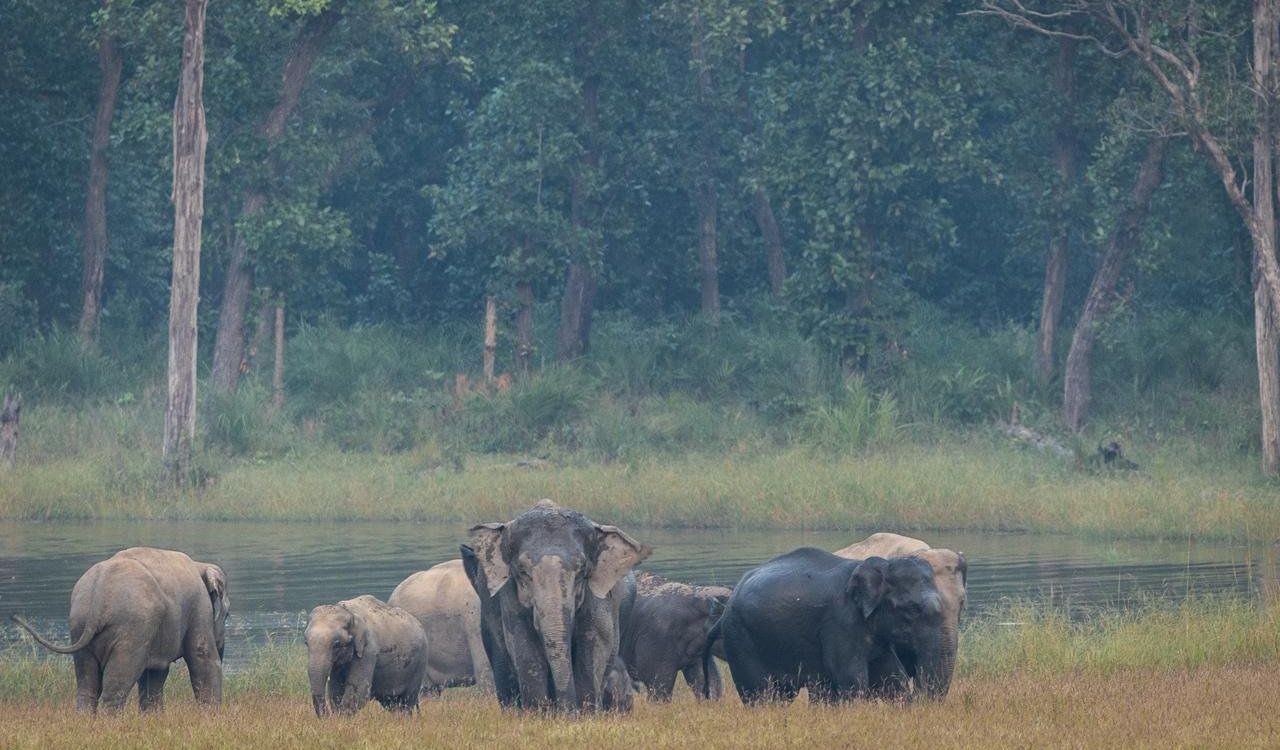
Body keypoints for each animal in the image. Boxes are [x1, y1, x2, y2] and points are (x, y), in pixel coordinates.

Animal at [11, 546, 229, 715]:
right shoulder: (199, 606)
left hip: (78, 624)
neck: (199, 565)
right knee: (117, 684)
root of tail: (99, 592)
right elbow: (202, 657)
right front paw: (210, 718)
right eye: (226, 615)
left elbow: (155, 672)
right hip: (132, 629)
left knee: (87, 685)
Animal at [469, 499, 651, 712]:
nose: (568, 711)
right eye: (522, 571)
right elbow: (522, 644)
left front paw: (585, 713)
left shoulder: (600, 596)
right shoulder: (508, 595)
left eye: (582, 571)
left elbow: (594, 642)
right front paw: (538, 714)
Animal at [705, 547, 946, 705]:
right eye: (912, 609)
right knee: (760, 694)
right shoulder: (840, 621)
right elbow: (851, 677)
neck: (880, 565)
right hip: (740, 640)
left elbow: (892, 677)